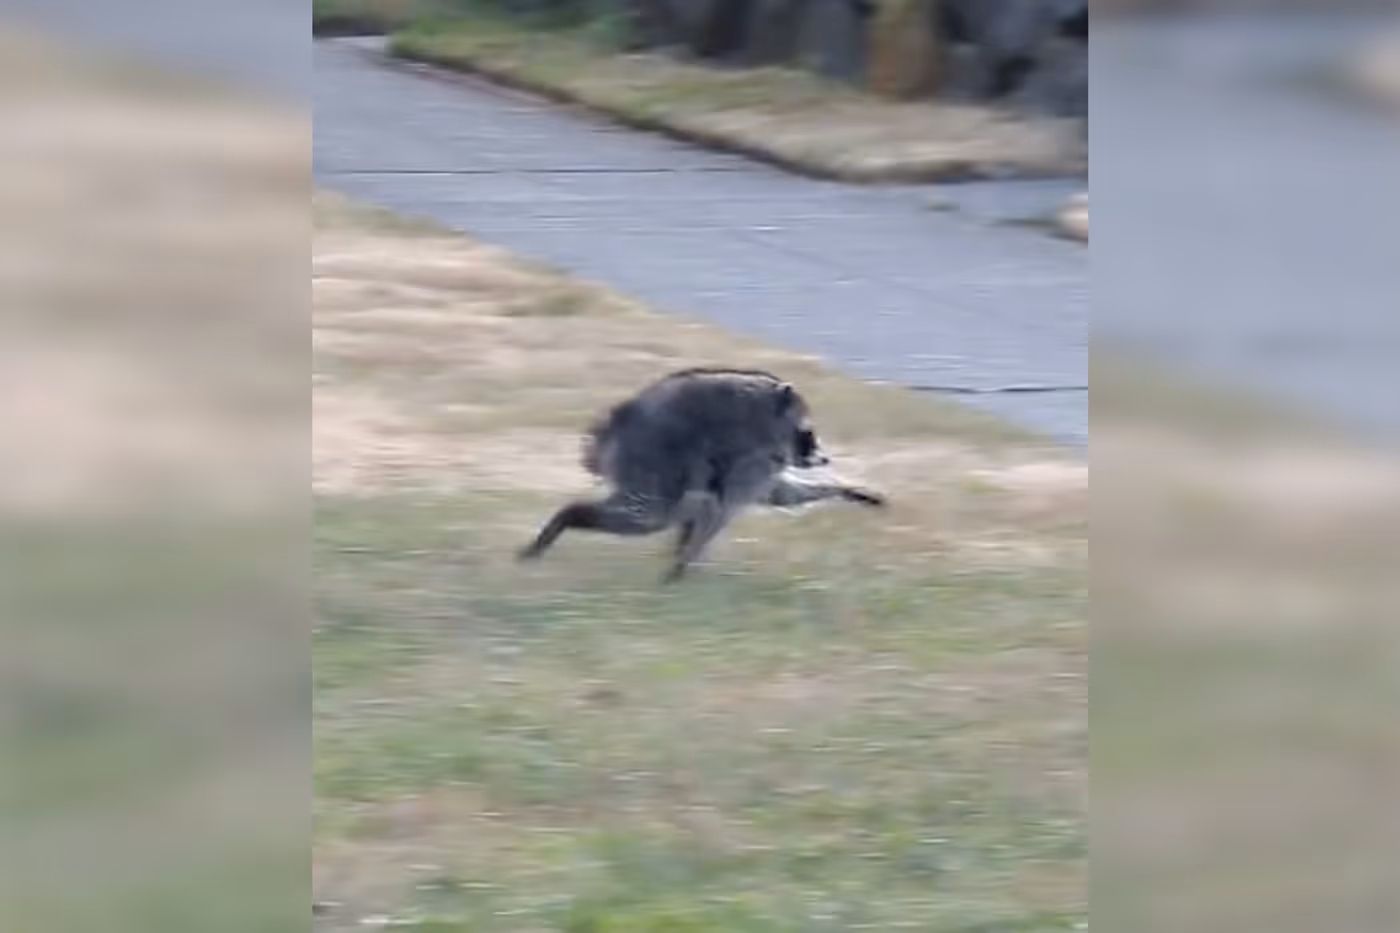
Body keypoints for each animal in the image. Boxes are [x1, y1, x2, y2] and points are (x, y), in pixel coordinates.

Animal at [519, 368, 886, 581]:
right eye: (808, 434)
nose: (824, 458)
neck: (770, 414)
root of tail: (615, 423)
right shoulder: (753, 455)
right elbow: (728, 507)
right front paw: (682, 566)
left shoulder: (763, 460)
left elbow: (780, 494)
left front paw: (847, 489)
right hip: (654, 458)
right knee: (655, 514)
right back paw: (566, 518)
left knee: (686, 506)